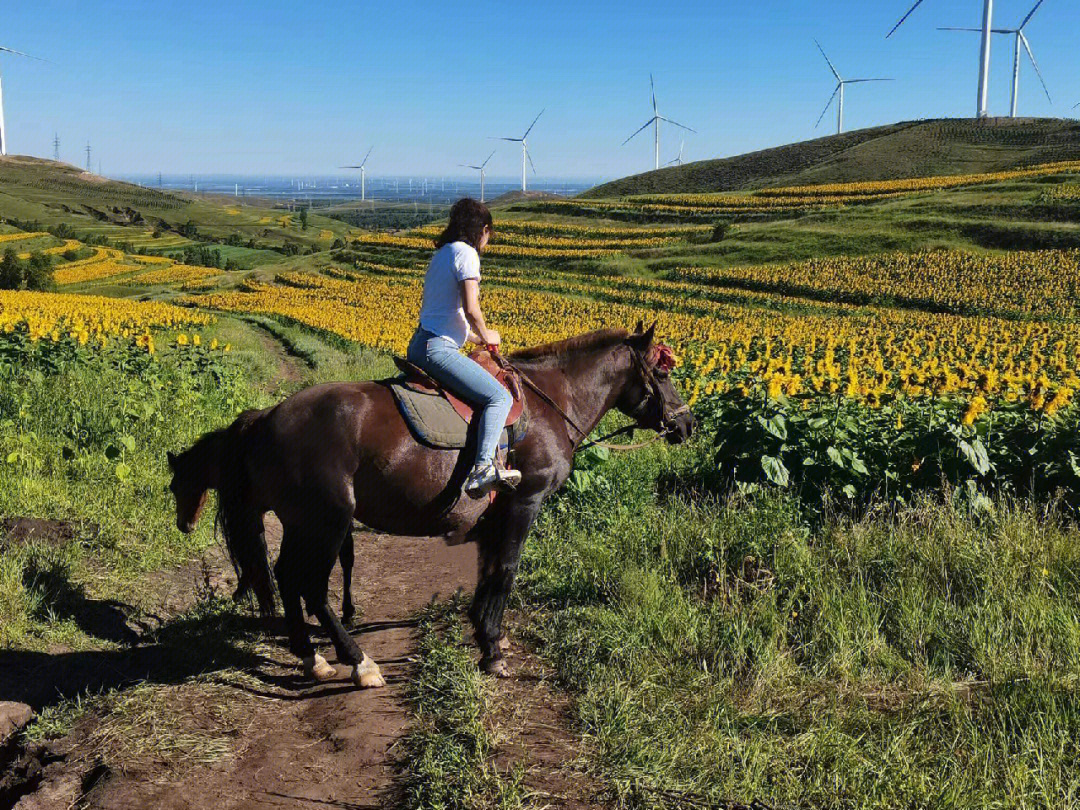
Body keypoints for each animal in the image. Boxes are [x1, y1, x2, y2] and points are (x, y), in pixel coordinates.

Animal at [165, 326, 695, 686]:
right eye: (662, 371)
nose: (687, 424)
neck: (550, 404)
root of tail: (266, 417)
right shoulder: (523, 503)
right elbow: (505, 570)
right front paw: (492, 649)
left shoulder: (493, 514)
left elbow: (486, 570)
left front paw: (484, 632)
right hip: (328, 521)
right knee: (311, 586)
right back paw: (358, 662)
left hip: (301, 522)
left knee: (286, 577)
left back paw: (311, 656)